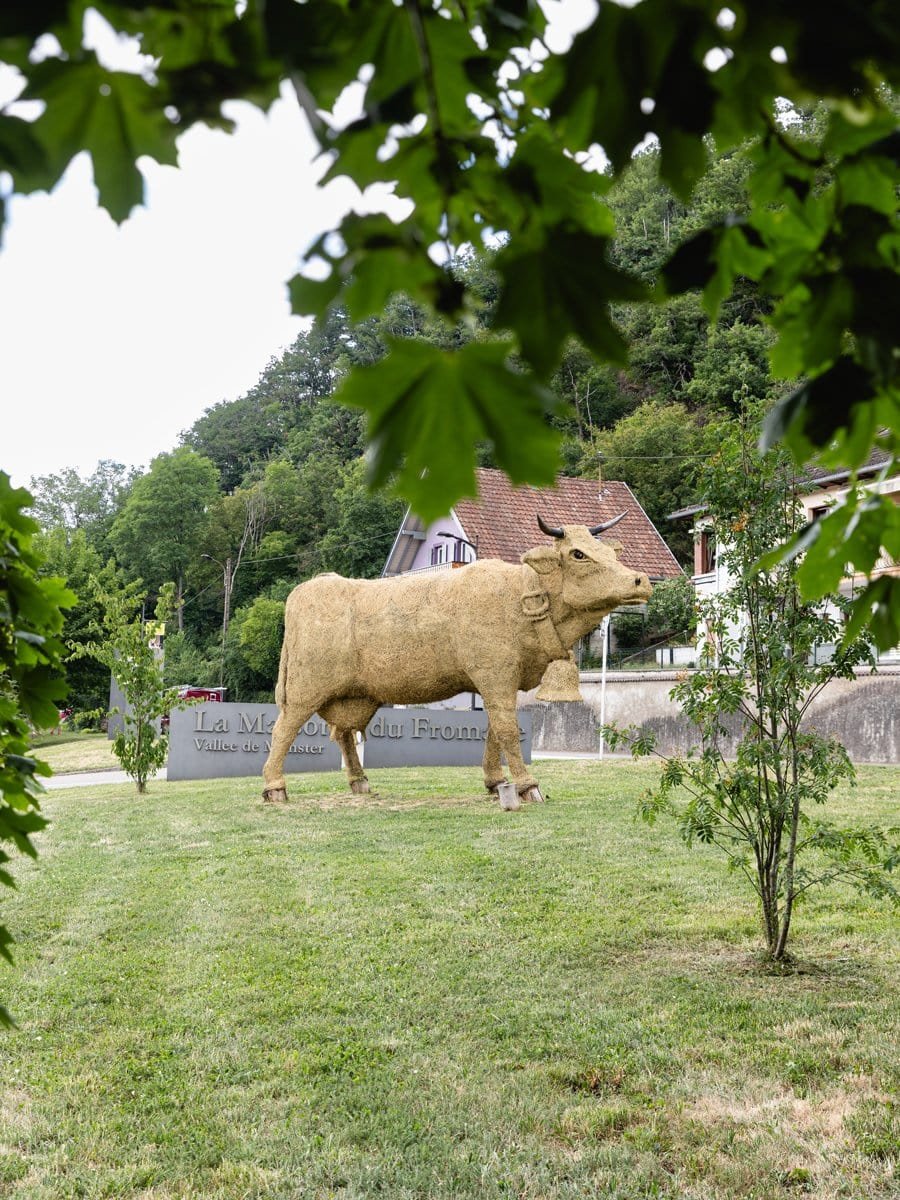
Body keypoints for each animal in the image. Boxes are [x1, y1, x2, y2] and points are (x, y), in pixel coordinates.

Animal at [262, 515, 652, 804]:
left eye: (607, 550)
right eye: (578, 554)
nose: (641, 580)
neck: (523, 597)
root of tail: (308, 587)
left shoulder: (503, 680)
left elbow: (494, 730)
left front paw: (495, 782)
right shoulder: (494, 674)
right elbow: (508, 730)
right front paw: (527, 786)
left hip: (353, 695)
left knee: (343, 733)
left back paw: (360, 783)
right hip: (307, 687)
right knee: (284, 729)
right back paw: (274, 788)